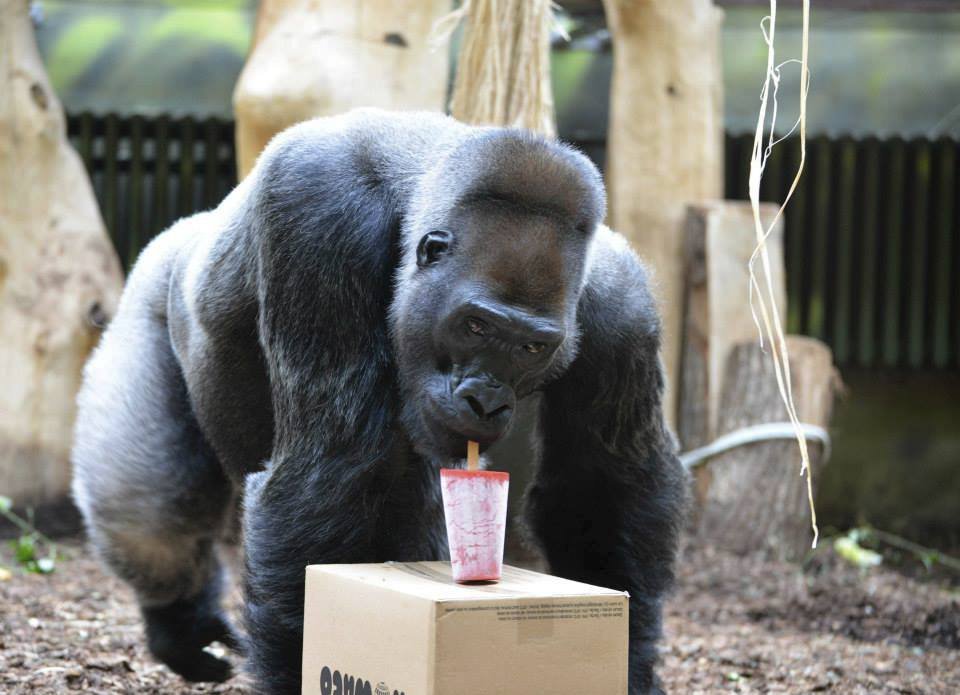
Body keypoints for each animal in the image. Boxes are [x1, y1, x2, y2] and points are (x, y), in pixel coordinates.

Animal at [73, 110, 688, 695]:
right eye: (476, 325)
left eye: (532, 346)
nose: (485, 401)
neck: (418, 183)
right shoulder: (321, 213)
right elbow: (331, 472)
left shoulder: (622, 305)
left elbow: (599, 487)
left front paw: (631, 667)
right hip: (150, 286)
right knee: (150, 502)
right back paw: (178, 618)